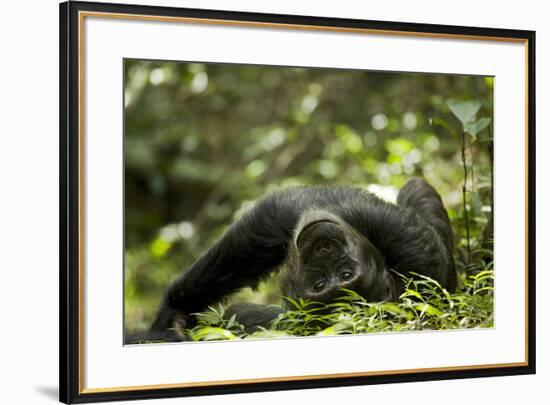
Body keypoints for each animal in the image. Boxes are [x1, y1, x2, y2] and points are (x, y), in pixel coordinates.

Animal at [140, 178, 454, 340]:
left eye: (346, 274)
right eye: (320, 284)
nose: (323, 250)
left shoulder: (407, 244)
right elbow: (267, 225)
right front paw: (174, 314)